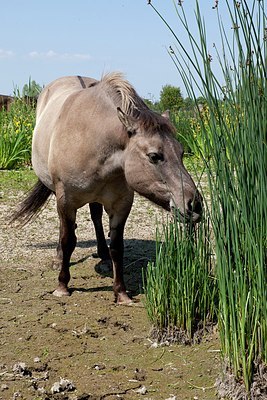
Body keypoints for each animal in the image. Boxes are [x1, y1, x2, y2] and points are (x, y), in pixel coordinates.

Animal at [11, 72, 202, 304]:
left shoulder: (121, 204)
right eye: (154, 156)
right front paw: (62, 285)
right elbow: (68, 240)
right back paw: (59, 258)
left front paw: (121, 293)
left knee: (96, 217)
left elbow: (117, 247)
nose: (194, 205)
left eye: (181, 153)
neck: (91, 139)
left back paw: (102, 255)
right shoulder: (66, 201)